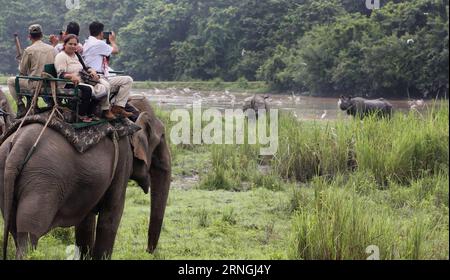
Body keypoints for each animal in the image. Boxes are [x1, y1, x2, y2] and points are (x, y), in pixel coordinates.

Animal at [0, 96, 171, 260]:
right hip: (43, 181)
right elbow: (111, 215)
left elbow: (85, 223)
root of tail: (18, 146)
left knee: (15, 229)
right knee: (28, 236)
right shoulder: (123, 159)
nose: (148, 252)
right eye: (161, 139)